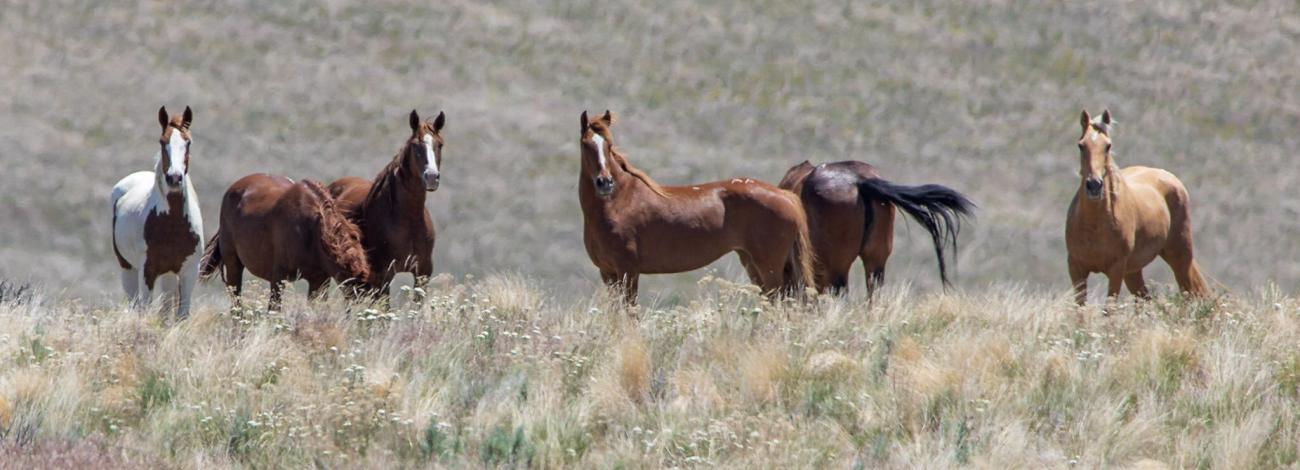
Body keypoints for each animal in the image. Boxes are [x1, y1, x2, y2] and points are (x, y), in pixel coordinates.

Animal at [110, 106, 204, 319]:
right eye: (163, 141)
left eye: (188, 142)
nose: (174, 178)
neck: (172, 226)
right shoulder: (148, 271)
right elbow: (145, 310)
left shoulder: (189, 271)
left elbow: (181, 315)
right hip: (128, 268)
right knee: (135, 304)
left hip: (168, 274)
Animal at [200, 175, 370, 311]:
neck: (311, 230)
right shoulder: (278, 278)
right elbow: (274, 311)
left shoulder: (319, 281)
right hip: (233, 264)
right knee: (236, 304)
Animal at [328, 110, 443, 299]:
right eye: (415, 146)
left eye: (440, 144)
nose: (432, 177)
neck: (409, 219)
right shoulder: (384, 276)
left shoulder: (423, 272)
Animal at [577, 110, 814, 304]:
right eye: (585, 144)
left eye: (609, 145)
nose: (604, 182)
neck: (619, 202)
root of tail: (786, 196)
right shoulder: (608, 273)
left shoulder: (628, 271)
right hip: (752, 262)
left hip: (769, 266)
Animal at [1065, 109, 1209, 306]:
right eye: (1081, 145)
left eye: (1108, 146)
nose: (1094, 185)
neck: (1093, 226)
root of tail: (1170, 178)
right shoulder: (1076, 268)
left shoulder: (1116, 269)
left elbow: (1109, 309)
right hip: (1133, 271)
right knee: (1147, 299)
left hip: (1180, 256)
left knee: (1189, 292)